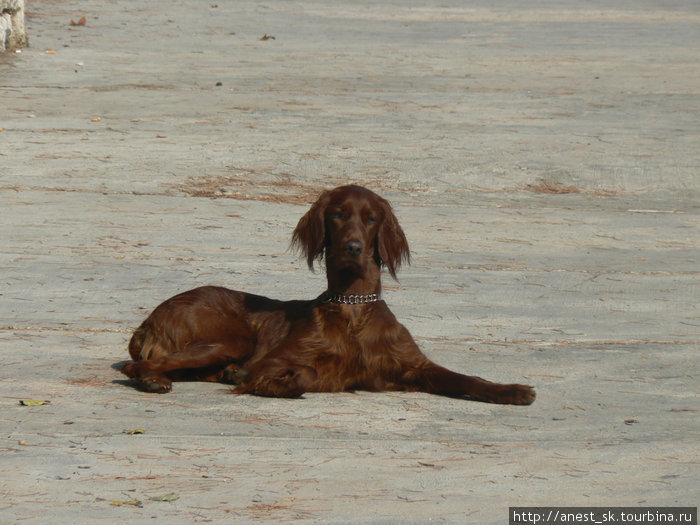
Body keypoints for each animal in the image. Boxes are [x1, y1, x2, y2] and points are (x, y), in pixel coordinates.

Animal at [120, 185, 536, 406]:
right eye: (337, 214)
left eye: (371, 219)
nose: (353, 247)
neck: (353, 311)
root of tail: (150, 317)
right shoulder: (278, 359)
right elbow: (303, 372)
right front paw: (270, 384)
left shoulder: (413, 366)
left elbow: (465, 379)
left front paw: (512, 390)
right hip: (230, 338)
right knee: (134, 367)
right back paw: (156, 380)